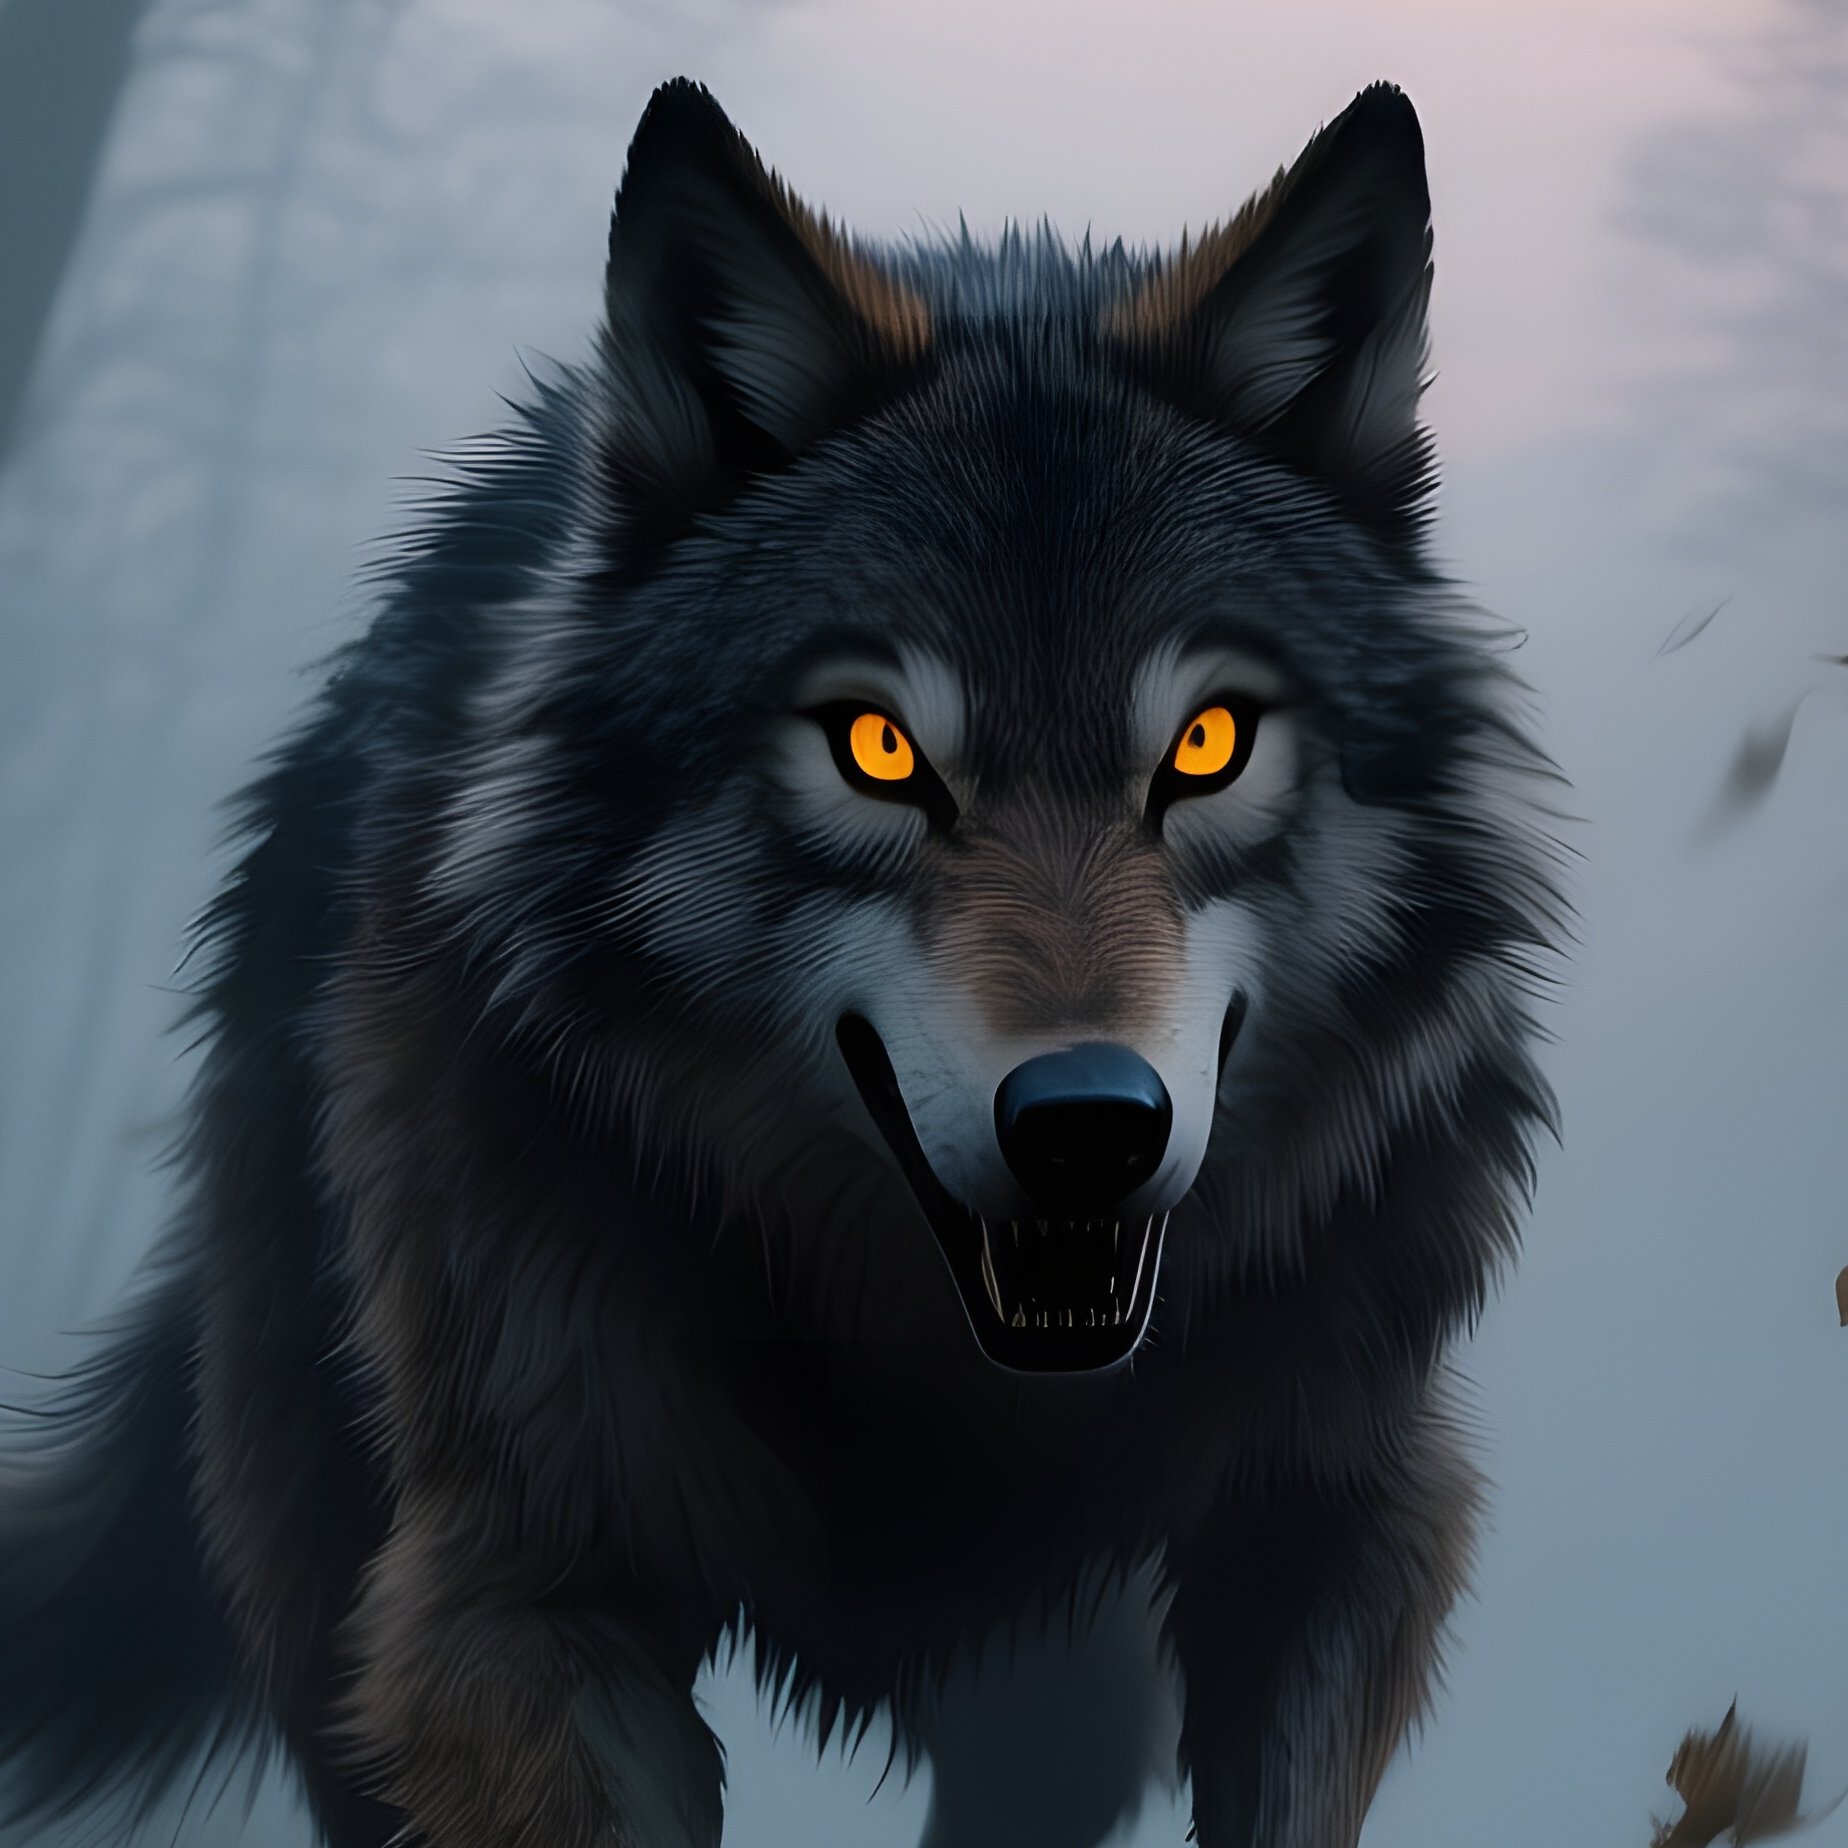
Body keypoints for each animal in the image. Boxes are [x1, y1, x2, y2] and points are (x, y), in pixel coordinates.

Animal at [0, 76, 1564, 1848]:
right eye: (877, 748)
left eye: (1210, 742)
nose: (1092, 1121)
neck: (926, 1377)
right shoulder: (519, 1601)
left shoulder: (1331, 1531)